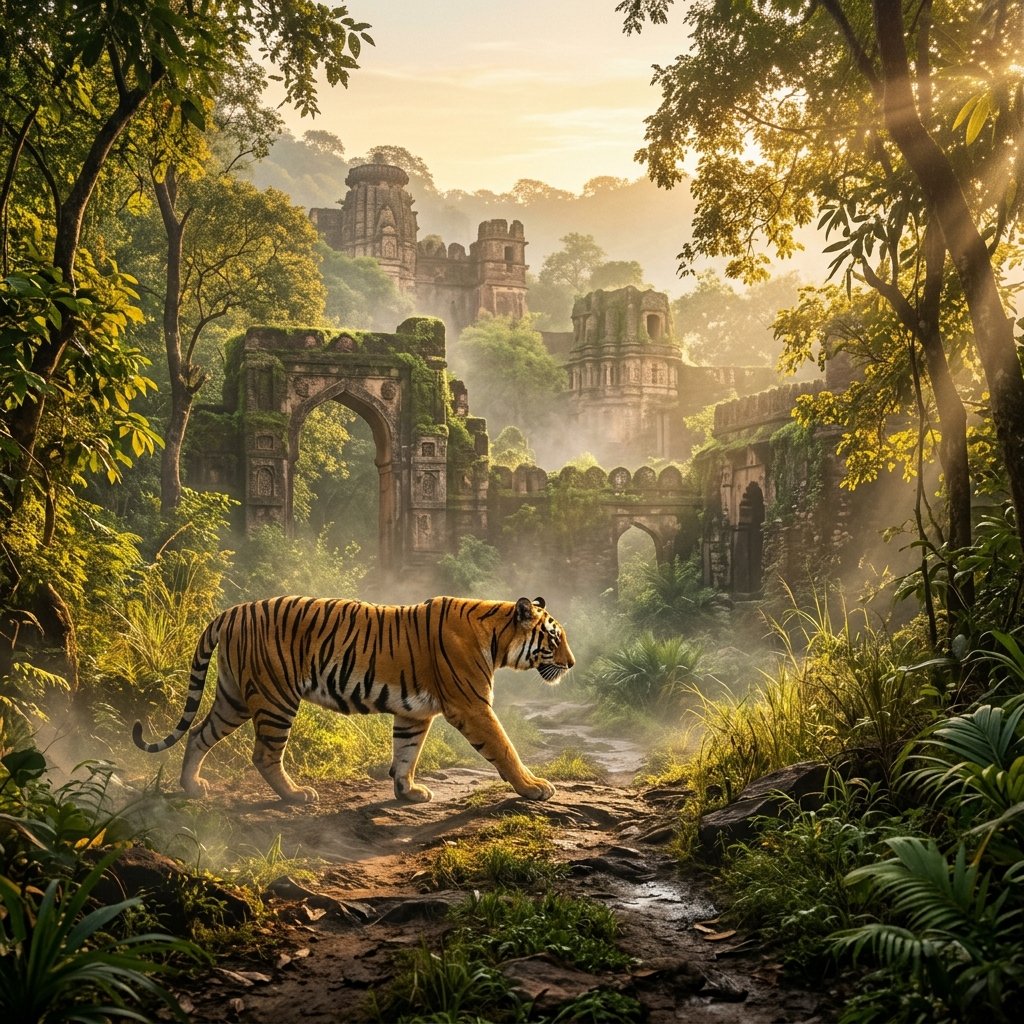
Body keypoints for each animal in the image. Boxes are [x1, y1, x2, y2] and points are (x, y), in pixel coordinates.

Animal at [132, 594, 574, 805]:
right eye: (554, 639)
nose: (571, 664)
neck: (496, 638)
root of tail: (231, 611)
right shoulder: (471, 705)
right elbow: (504, 748)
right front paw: (535, 787)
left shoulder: (414, 714)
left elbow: (406, 754)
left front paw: (407, 793)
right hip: (275, 697)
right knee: (264, 754)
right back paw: (295, 795)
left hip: (234, 697)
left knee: (199, 734)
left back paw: (192, 787)